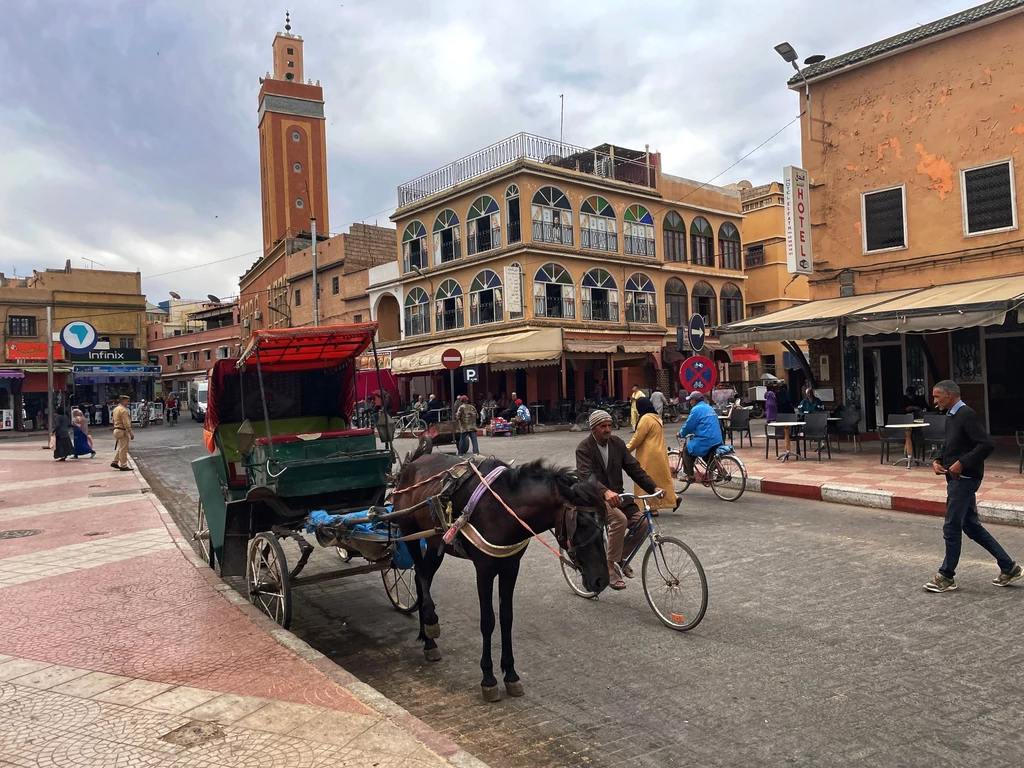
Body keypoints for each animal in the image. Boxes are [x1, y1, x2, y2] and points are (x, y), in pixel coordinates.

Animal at [391, 450, 606, 704]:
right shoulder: (484, 569)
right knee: (421, 576)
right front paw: (488, 678)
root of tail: (412, 464)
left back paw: (428, 640)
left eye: (604, 522)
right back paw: (431, 622)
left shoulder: (511, 566)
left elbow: (506, 618)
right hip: (410, 533)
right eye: (581, 523)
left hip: (435, 542)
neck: (504, 509)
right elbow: (488, 621)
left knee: (421, 577)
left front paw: (510, 674)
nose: (602, 579)